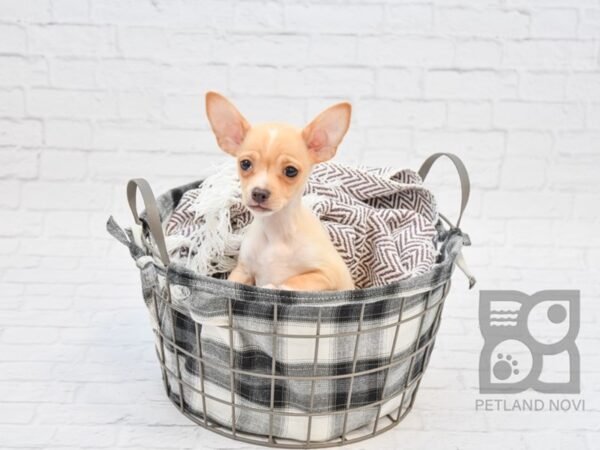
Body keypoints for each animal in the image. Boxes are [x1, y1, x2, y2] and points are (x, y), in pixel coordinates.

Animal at [206, 93, 356, 294]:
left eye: (291, 171)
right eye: (245, 164)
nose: (259, 193)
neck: (275, 232)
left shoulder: (330, 274)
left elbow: (296, 280)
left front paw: (273, 286)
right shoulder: (243, 271)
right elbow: (232, 285)